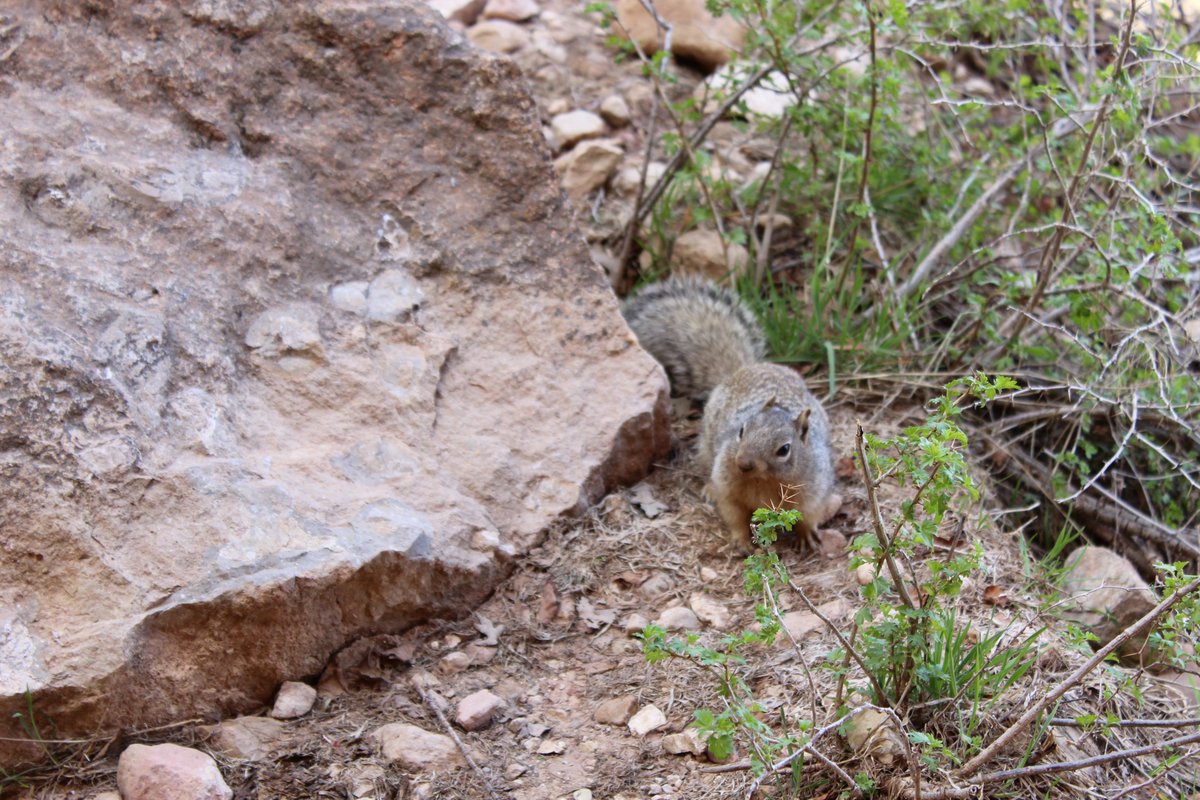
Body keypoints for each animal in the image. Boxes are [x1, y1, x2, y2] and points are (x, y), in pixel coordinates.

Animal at [623, 277, 842, 552]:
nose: (743, 462)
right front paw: (742, 541)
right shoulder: (727, 485)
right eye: (741, 430)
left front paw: (807, 536)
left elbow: (809, 515)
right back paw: (708, 489)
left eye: (784, 449)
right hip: (708, 445)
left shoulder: (814, 490)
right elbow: (733, 514)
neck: (764, 481)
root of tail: (744, 369)